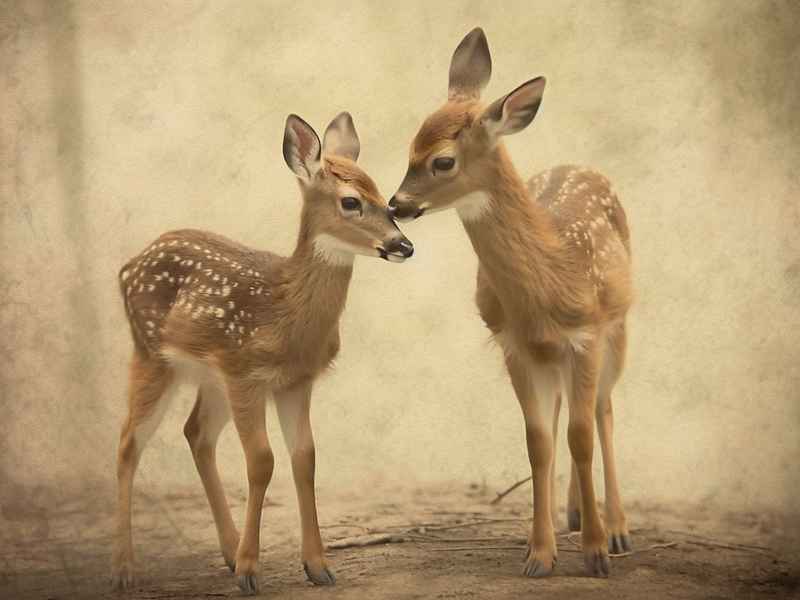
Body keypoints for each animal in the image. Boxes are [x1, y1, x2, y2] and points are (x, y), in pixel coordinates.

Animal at [112, 112, 414, 595]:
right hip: (152, 354)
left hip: (209, 377)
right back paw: (125, 570)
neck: (286, 313)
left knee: (195, 433)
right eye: (351, 202)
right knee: (128, 443)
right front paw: (252, 572)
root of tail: (127, 266)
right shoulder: (245, 374)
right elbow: (261, 461)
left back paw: (228, 550)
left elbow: (305, 459)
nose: (404, 246)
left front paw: (318, 566)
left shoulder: (294, 382)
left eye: (385, 202)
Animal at [388, 28, 633, 578]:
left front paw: (595, 553)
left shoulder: (586, 335)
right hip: (552, 357)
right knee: (567, 412)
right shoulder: (513, 344)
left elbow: (582, 436)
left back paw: (617, 528)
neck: (549, 284)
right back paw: (571, 515)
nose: (396, 204)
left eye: (441, 160)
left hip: (620, 327)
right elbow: (538, 441)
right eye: (409, 147)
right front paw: (539, 554)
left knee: (604, 410)